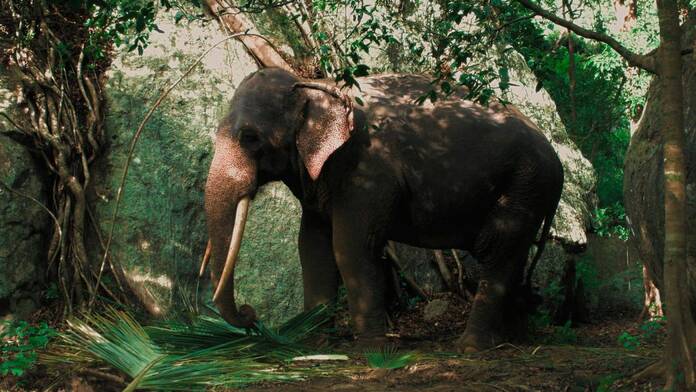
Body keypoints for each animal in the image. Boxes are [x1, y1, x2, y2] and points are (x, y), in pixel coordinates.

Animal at [204, 67, 564, 352]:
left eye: (250, 137)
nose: (251, 315)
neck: (315, 85)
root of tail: (557, 159)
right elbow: (311, 245)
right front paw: (313, 345)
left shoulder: (368, 169)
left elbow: (350, 246)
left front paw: (372, 351)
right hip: (529, 191)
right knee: (513, 255)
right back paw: (514, 340)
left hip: (525, 184)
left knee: (497, 250)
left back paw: (472, 348)